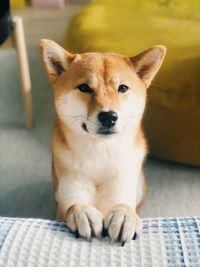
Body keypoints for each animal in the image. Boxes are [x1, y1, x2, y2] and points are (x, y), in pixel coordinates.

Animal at [39, 38, 166, 246]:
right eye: (84, 87)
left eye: (122, 88)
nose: (109, 117)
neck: (100, 154)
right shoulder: (68, 194)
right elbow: (73, 205)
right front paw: (82, 212)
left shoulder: (121, 187)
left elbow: (124, 205)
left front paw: (125, 215)